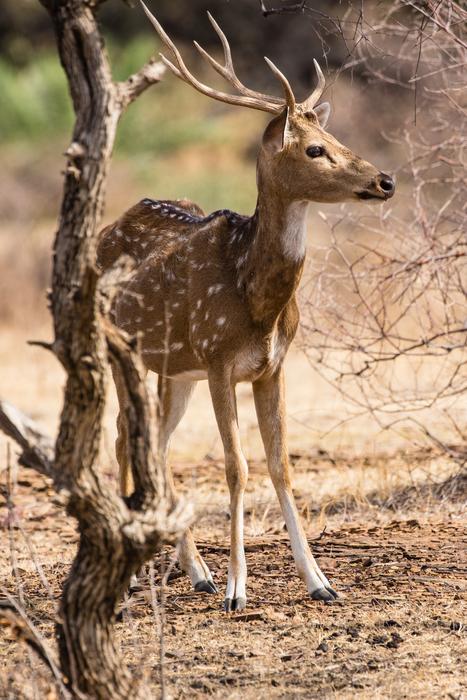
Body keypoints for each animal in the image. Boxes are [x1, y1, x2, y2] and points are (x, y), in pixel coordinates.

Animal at [97, 1, 395, 611]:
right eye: (314, 148)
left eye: (331, 134)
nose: (385, 180)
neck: (258, 302)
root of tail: (105, 230)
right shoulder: (217, 360)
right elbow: (236, 466)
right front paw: (238, 589)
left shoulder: (272, 367)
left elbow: (281, 466)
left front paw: (319, 582)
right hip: (124, 349)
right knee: (122, 436)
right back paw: (144, 575)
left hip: (173, 370)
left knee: (156, 446)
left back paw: (195, 572)